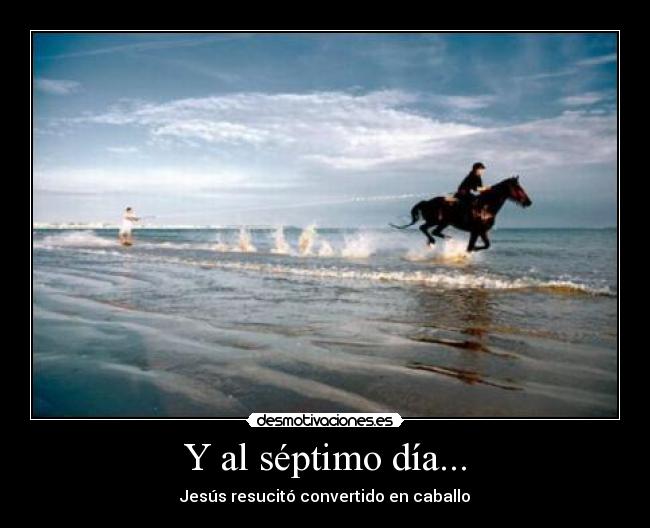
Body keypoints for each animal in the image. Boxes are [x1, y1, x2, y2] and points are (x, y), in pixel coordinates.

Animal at [390, 176, 532, 252]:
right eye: (518, 188)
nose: (529, 202)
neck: (486, 207)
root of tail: (426, 202)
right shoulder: (475, 231)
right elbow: (471, 247)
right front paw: (470, 250)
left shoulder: (482, 231)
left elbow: (486, 245)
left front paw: (473, 249)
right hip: (437, 221)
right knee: (425, 228)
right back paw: (436, 240)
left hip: (442, 223)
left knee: (431, 230)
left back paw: (439, 240)